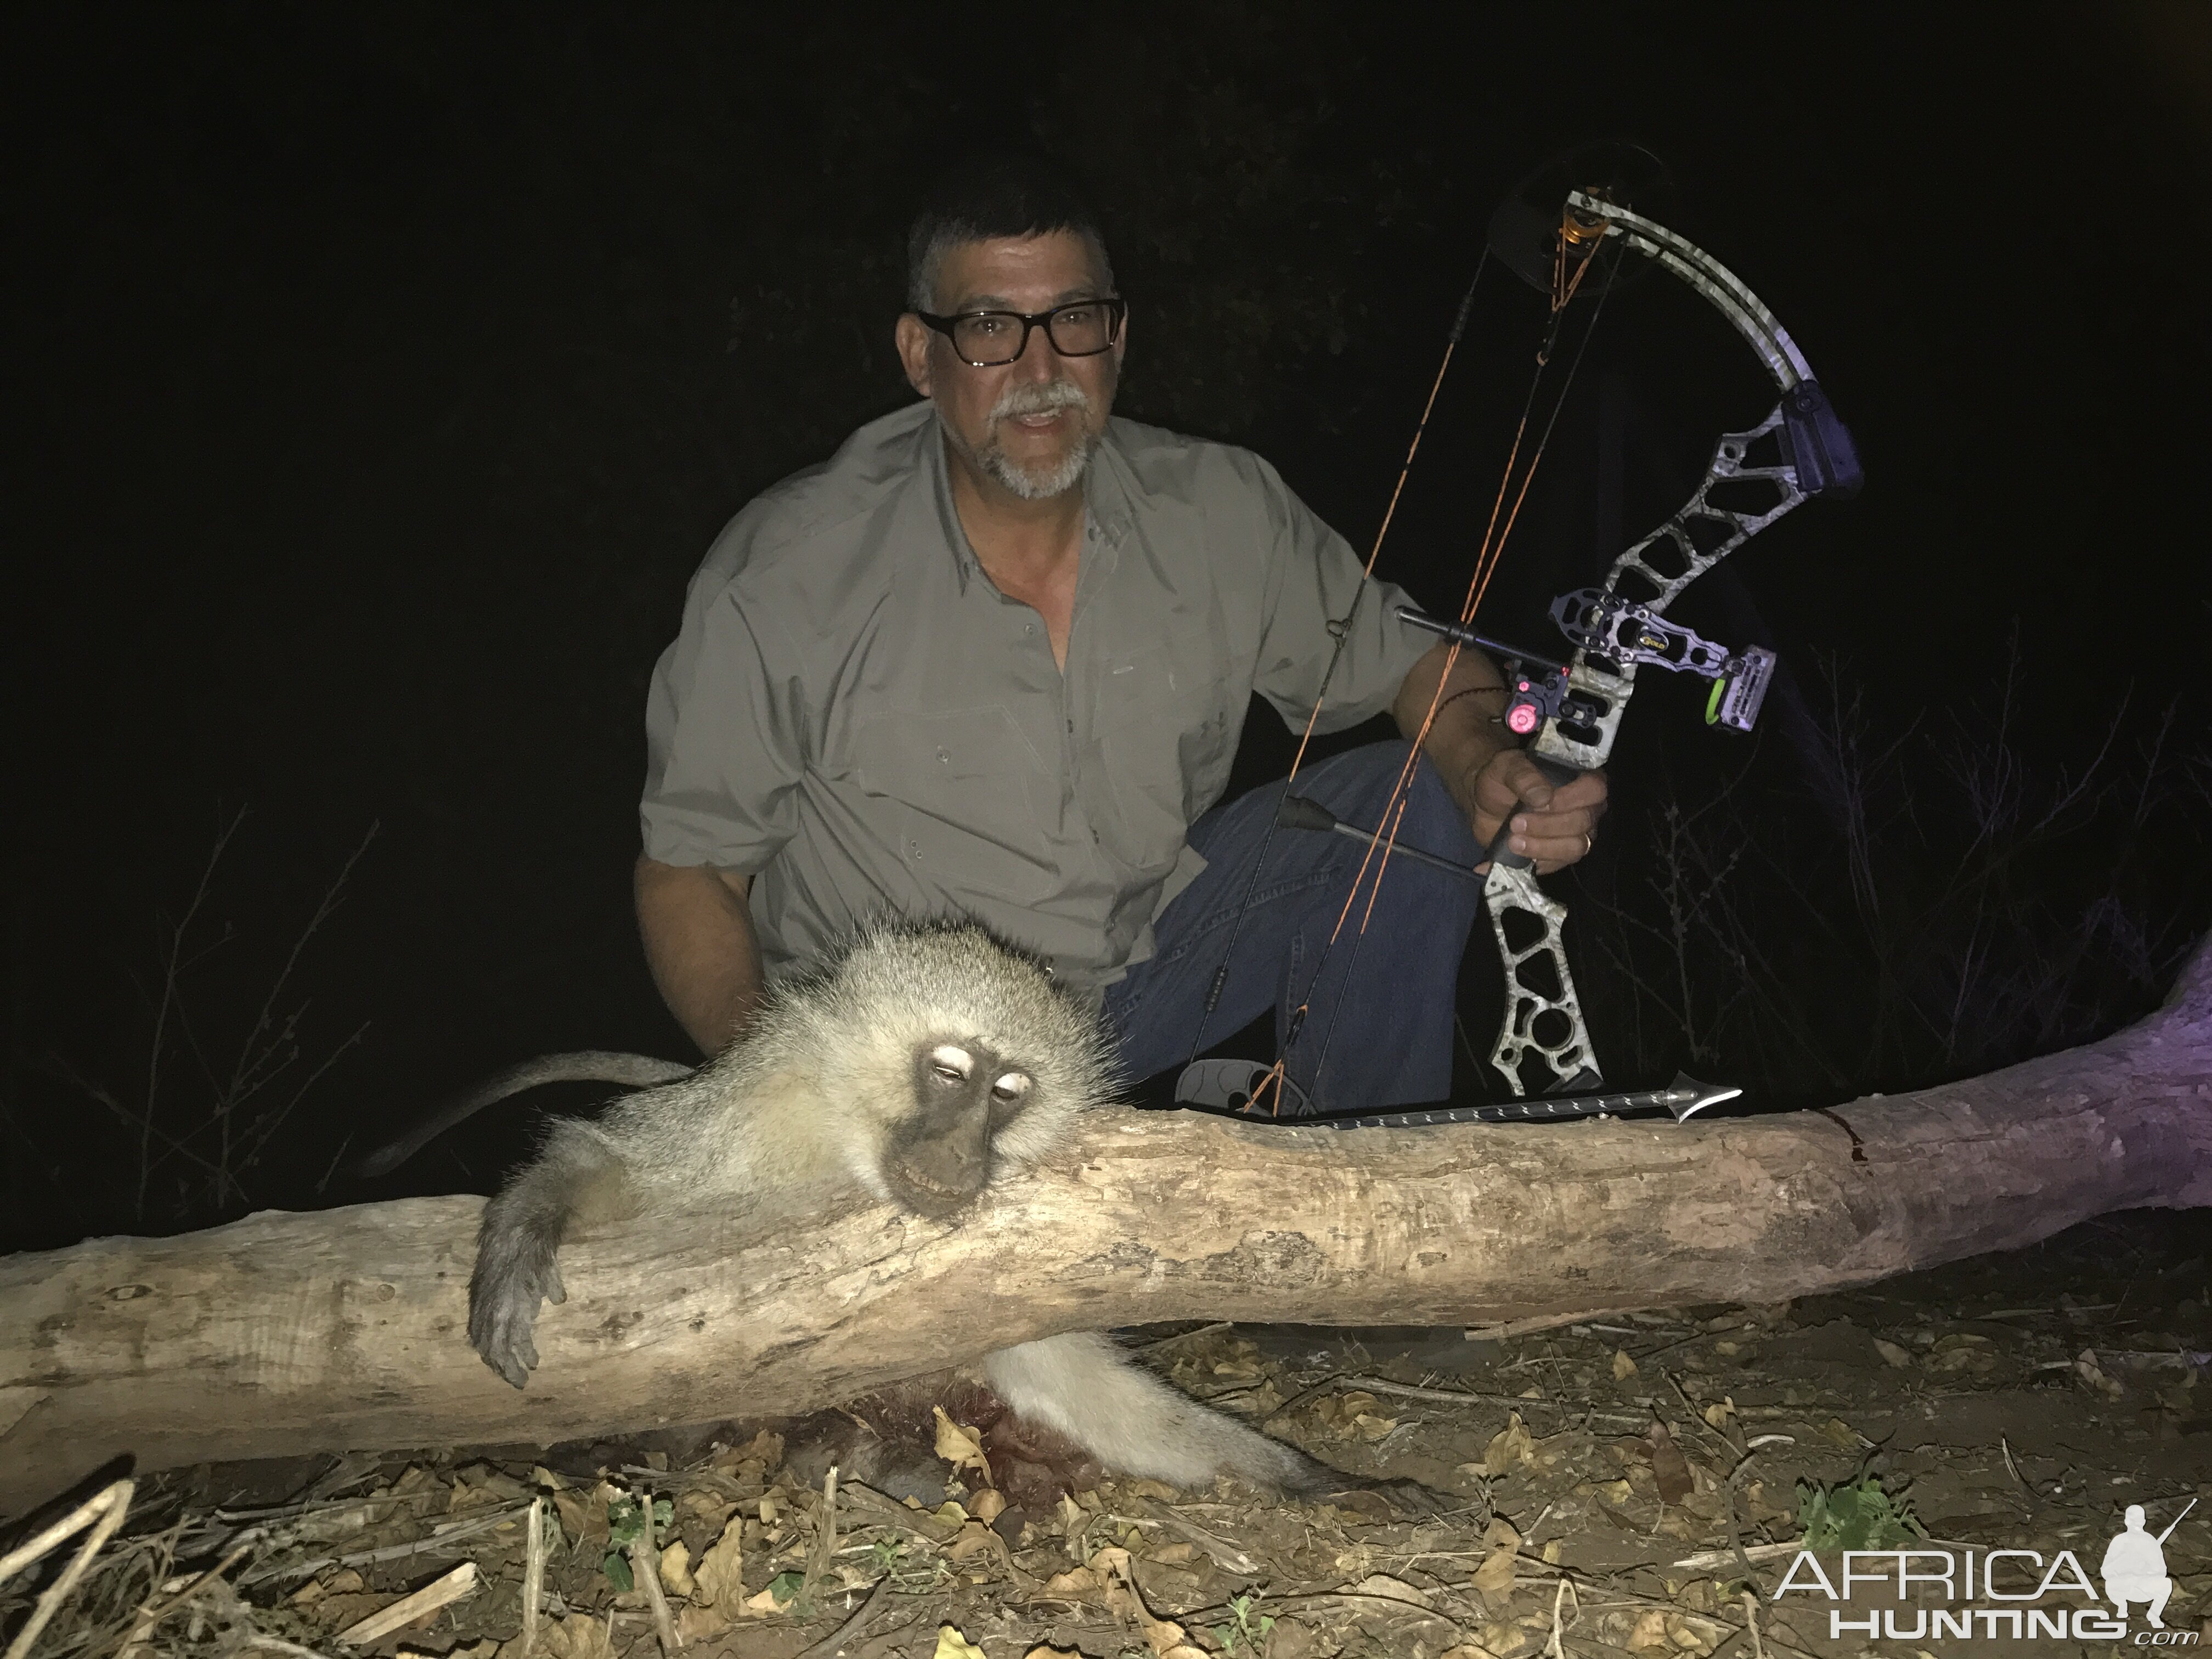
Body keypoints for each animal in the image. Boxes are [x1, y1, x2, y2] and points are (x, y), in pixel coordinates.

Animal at [464, 916, 1353, 1504]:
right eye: (951, 1074)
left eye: (1006, 1094)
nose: (960, 1155)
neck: (847, 1151)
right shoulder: (756, 1111)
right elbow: (620, 1165)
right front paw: (530, 1223)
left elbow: (1073, 1384)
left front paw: (1300, 1472)